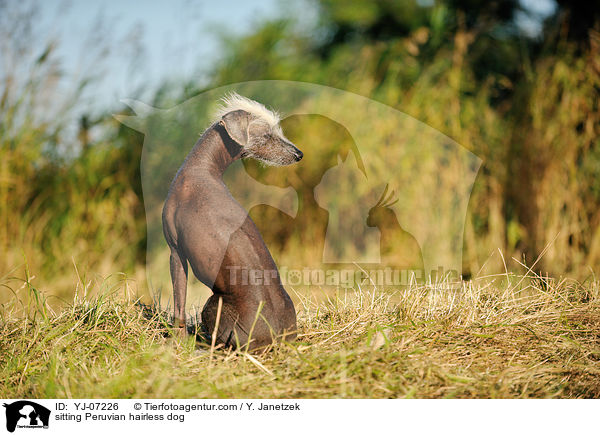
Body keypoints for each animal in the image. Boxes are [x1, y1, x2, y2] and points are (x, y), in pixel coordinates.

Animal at [162, 93, 302, 352]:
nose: (299, 154)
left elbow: (179, 302)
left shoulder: (176, 251)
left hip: (212, 303)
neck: (202, 169)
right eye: (267, 135)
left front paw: (177, 341)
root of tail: (276, 338)